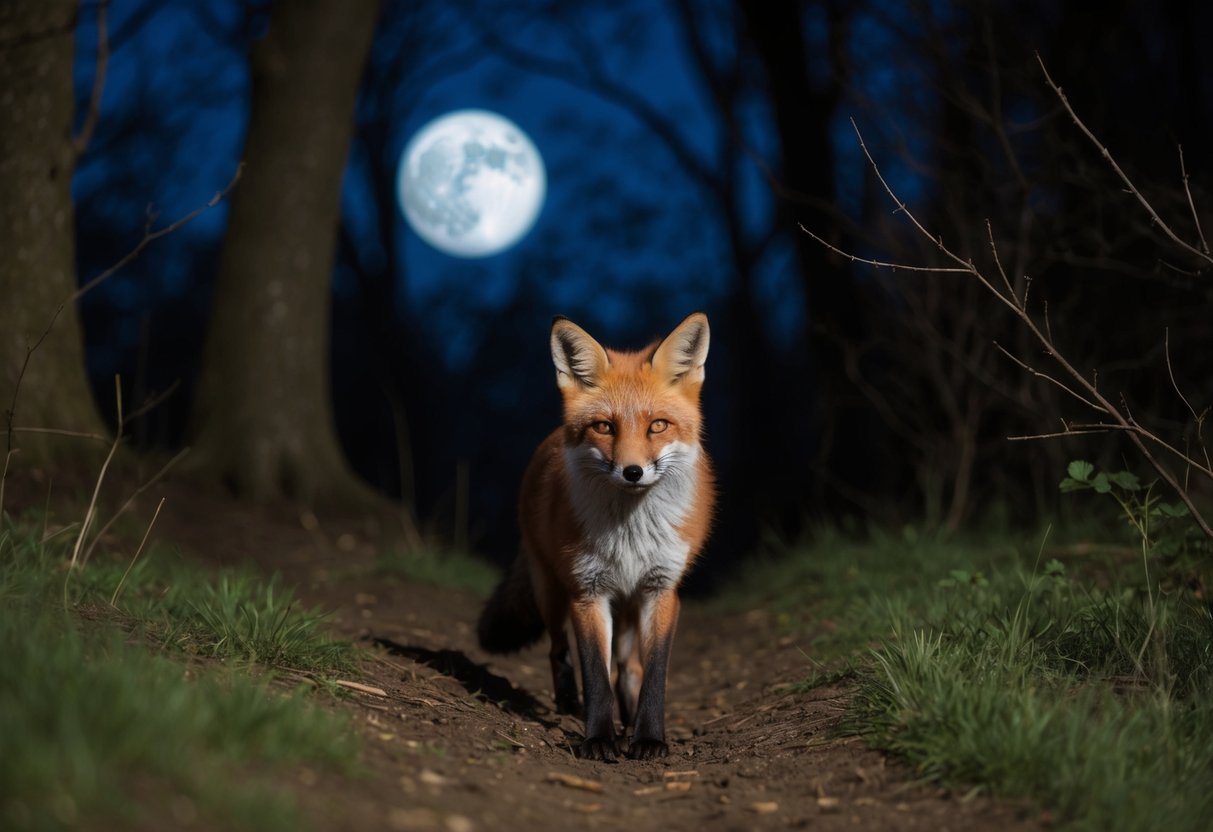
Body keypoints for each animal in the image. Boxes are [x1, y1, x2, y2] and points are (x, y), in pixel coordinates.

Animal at [477, 312, 715, 761]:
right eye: (604, 426)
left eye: (658, 425)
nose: (633, 472)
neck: (630, 535)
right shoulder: (587, 591)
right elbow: (595, 675)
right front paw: (599, 737)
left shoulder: (661, 591)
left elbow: (653, 676)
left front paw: (648, 737)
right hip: (550, 592)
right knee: (558, 650)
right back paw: (570, 701)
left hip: (629, 607)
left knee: (628, 667)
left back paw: (629, 721)